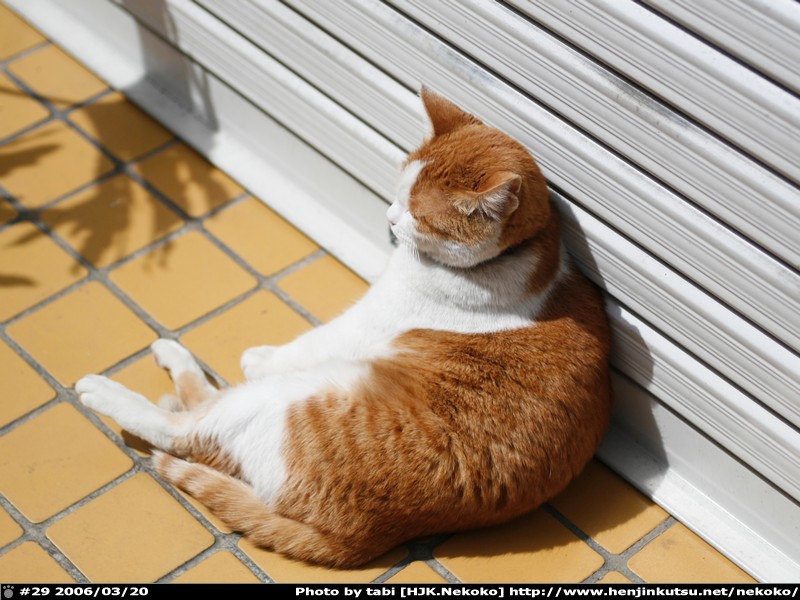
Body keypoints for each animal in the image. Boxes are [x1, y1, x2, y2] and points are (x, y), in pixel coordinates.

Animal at [75, 88, 612, 569]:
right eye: (398, 192)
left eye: (417, 215)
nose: (390, 217)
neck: (526, 255)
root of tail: (365, 536)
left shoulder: (373, 319)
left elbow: (313, 341)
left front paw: (259, 358)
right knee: (204, 412)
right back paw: (172, 362)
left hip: (286, 399)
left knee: (187, 433)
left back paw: (110, 391)